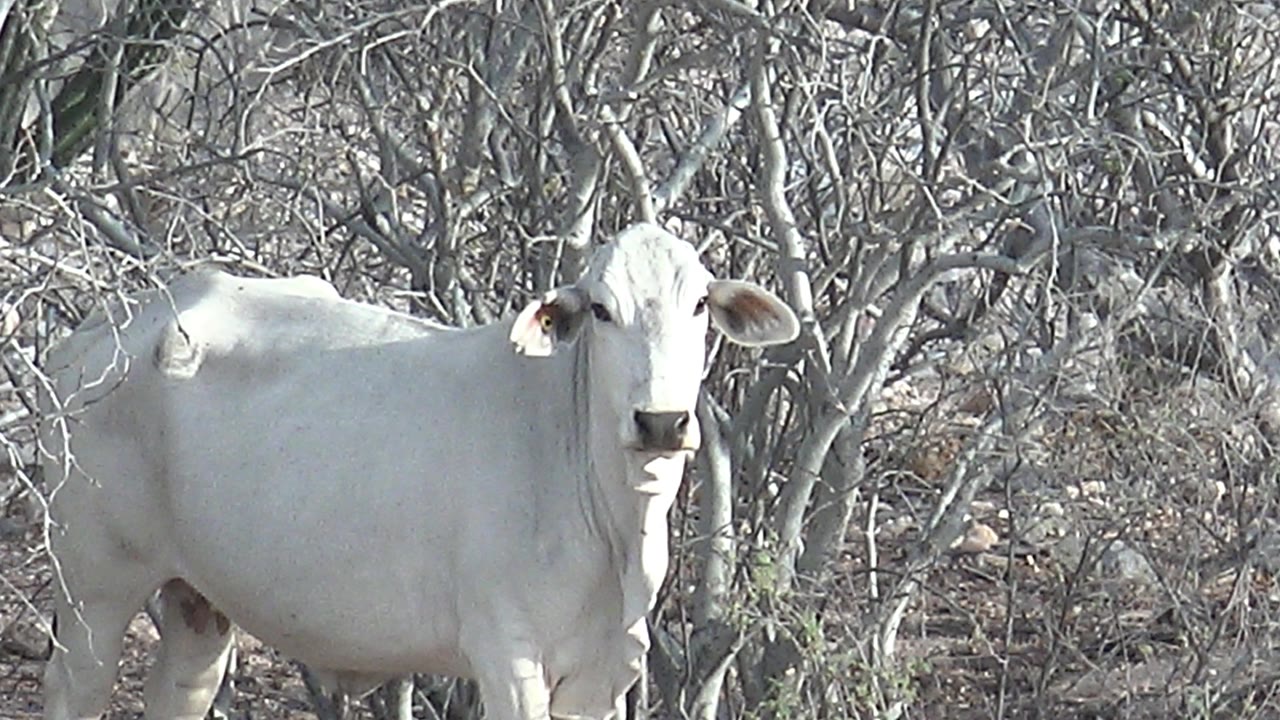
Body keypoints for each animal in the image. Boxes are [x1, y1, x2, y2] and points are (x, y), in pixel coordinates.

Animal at [39, 223, 799, 720]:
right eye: (603, 310)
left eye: (698, 305)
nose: (660, 422)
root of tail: (101, 329)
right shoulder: (507, 654)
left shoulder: (605, 671)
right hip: (92, 589)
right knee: (75, 689)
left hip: (199, 606)